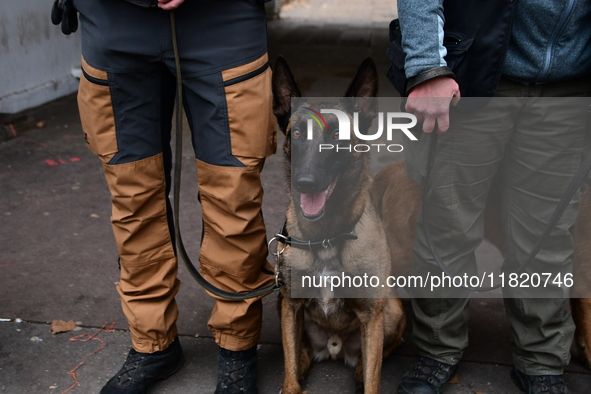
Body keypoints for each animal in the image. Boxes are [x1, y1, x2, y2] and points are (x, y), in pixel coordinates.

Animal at [272, 56, 408, 394]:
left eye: (336, 135)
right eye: (296, 134)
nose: (305, 183)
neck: (326, 237)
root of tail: (334, 347)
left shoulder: (372, 316)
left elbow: (374, 377)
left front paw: (366, 376)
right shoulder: (290, 306)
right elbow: (289, 368)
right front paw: (291, 381)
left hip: (392, 310)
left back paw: (358, 368)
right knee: (301, 350)